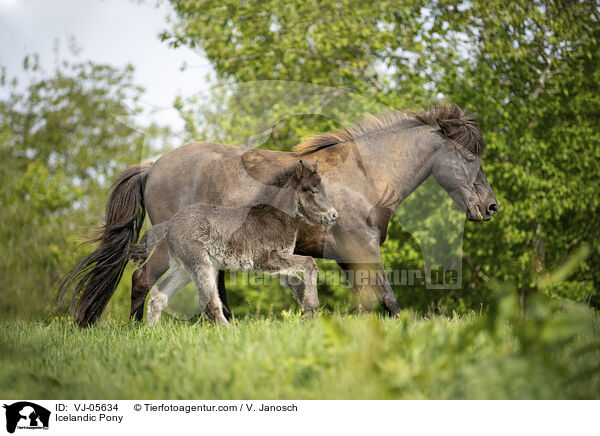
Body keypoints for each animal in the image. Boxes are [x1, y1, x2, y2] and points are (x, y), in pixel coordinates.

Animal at [131, 161, 338, 328]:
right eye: (312, 190)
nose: (334, 215)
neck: (276, 217)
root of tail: (170, 223)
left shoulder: (275, 263)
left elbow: (298, 283)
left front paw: (307, 312)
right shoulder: (265, 260)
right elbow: (310, 262)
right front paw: (311, 307)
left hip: (182, 268)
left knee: (158, 295)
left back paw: (151, 332)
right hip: (201, 265)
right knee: (208, 302)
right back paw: (229, 331)